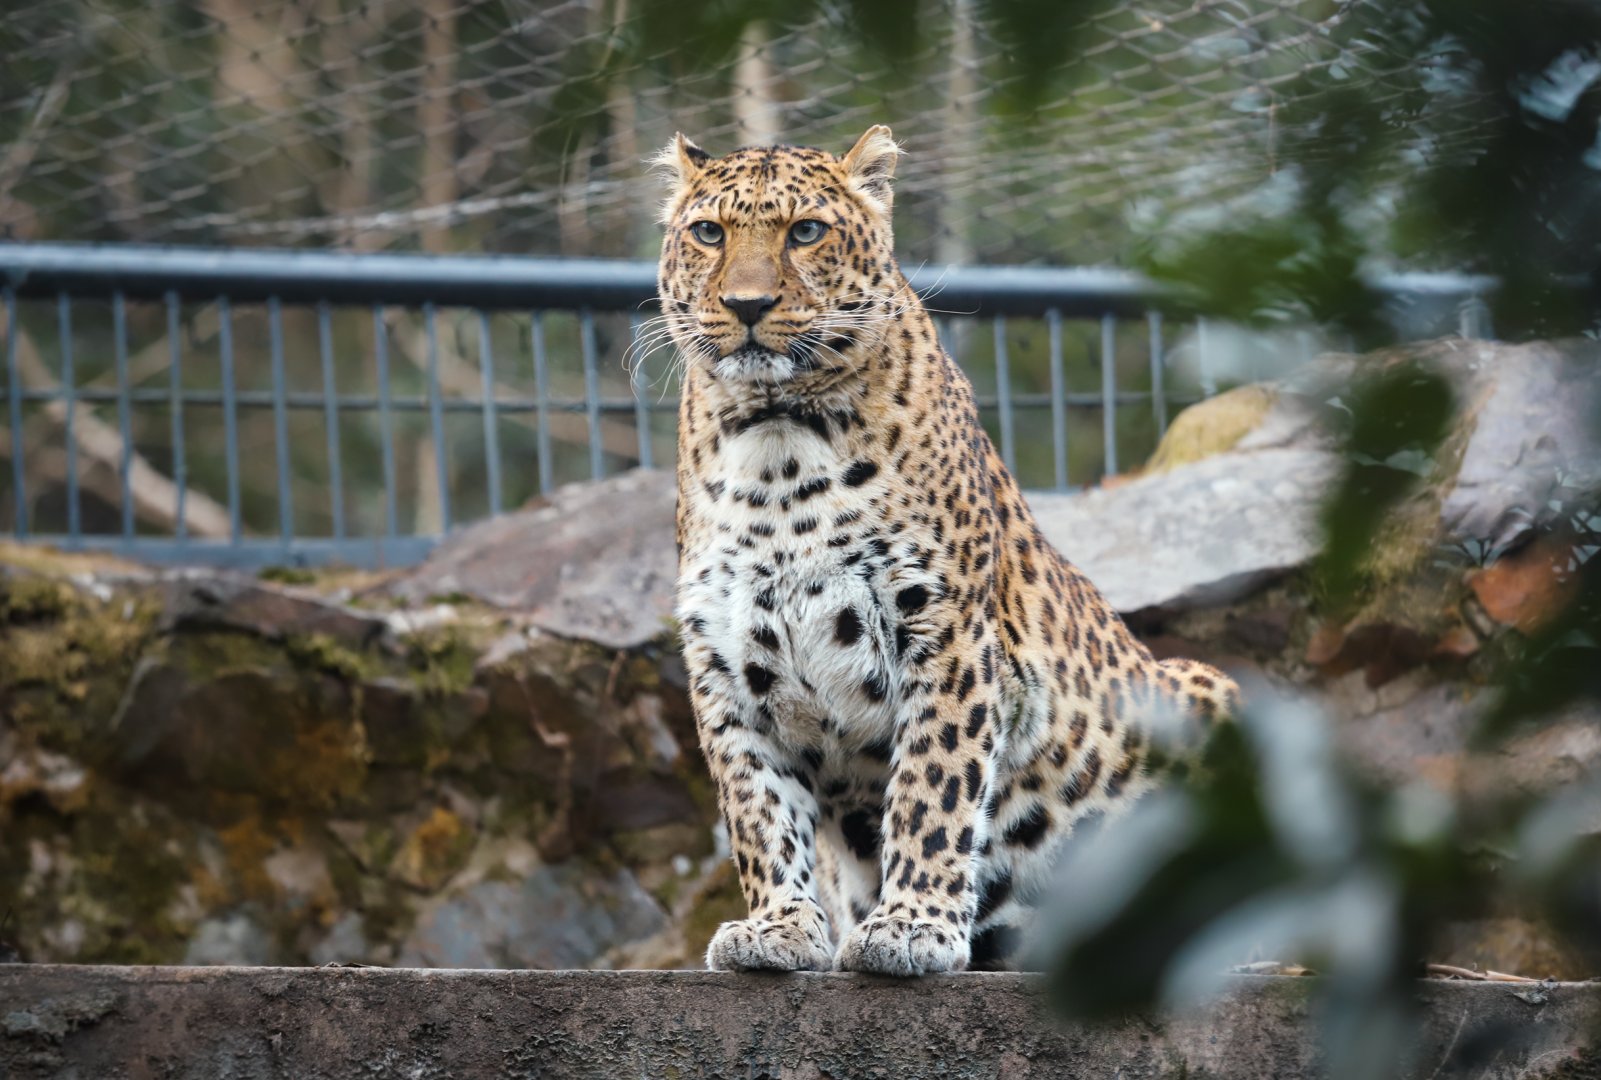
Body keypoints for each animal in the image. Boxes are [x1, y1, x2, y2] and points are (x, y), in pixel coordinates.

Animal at [656, 124, 1240, 976]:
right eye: (708, 233)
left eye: (805, 231)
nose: (747, 304)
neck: (776, 446)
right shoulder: (725, 666)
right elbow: (758, 810)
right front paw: (777, 929)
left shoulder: (946, 636)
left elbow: (932, 789)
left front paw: (910, 927)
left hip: (1208, 694)